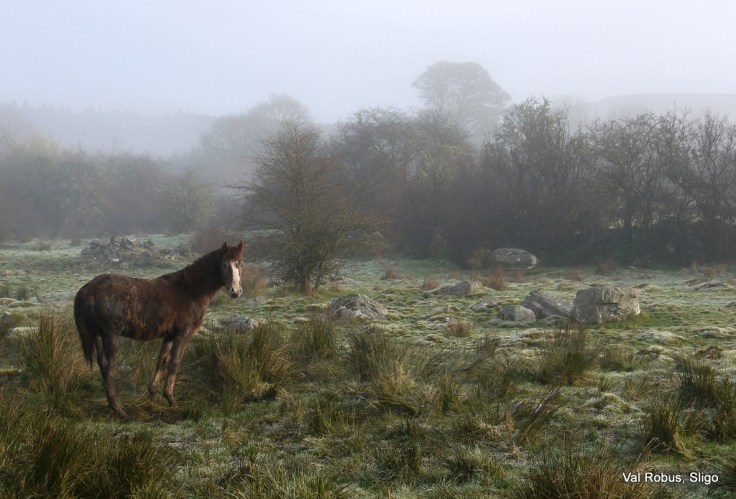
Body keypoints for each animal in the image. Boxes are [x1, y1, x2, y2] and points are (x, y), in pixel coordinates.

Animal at [74, 241, 244, 417]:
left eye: (241, 264)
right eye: (224, 265)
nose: (236, 291)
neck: (191, 289)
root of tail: (87, 289)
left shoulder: (169, 335)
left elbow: (161, 361)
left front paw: (154, 395)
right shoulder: (183, 334)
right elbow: (175, 362)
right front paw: (171, 399)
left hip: (97, 335)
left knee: (101, 363)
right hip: (111, 335)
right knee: (109, 366)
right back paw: (118, 408)